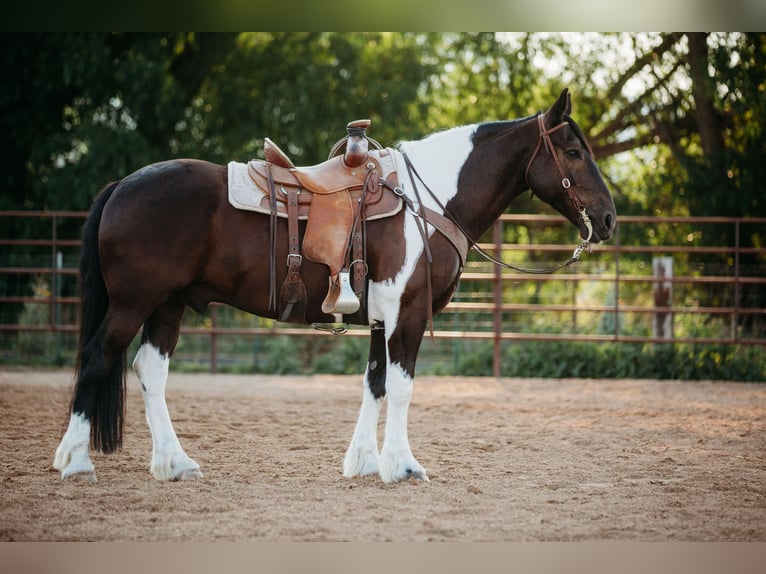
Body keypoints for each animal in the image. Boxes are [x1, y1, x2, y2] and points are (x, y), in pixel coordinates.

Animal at [52, 90, 616, 486]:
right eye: (572, 151)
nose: (609, 219)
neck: (425, 201)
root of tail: (122, 186)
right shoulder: (408, 313)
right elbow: (403, 387)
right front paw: (402, 466)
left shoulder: (381, 317)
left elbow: (375, 383)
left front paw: (364, 461)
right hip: (133, 304)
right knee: (98, 357)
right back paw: (75, 461)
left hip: (167, 306)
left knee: (151, 369)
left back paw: (174, 462)